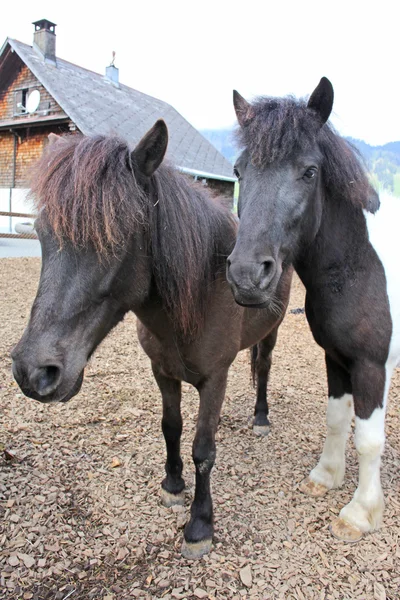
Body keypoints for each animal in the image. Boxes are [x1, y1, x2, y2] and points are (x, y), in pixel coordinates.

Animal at [12, 120, 292, 556]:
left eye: (116, 236)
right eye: (42, 234)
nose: (34, 372)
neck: (200, 294)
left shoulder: (216, 379)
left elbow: (203, 450)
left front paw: (200, 524)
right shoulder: (162, 371)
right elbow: (171, 427)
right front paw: (173, 485)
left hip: (272, 330)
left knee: (263, 366)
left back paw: (261, 417)